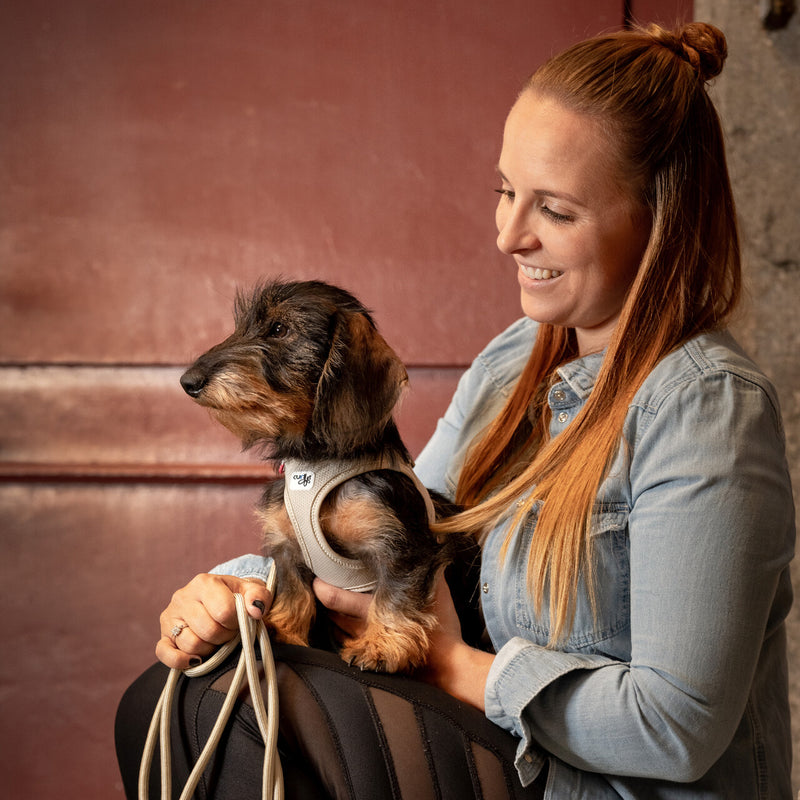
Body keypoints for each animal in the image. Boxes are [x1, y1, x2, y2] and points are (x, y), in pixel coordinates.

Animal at [181, 278, 482, 672]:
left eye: (279, 329)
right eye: (239, 328)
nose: (188, 381)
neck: (317, 462)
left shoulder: (401, 545)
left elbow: (394, 593)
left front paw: (382, 645)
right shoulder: (287, 548)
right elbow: (293, 592)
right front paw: (281, 631)